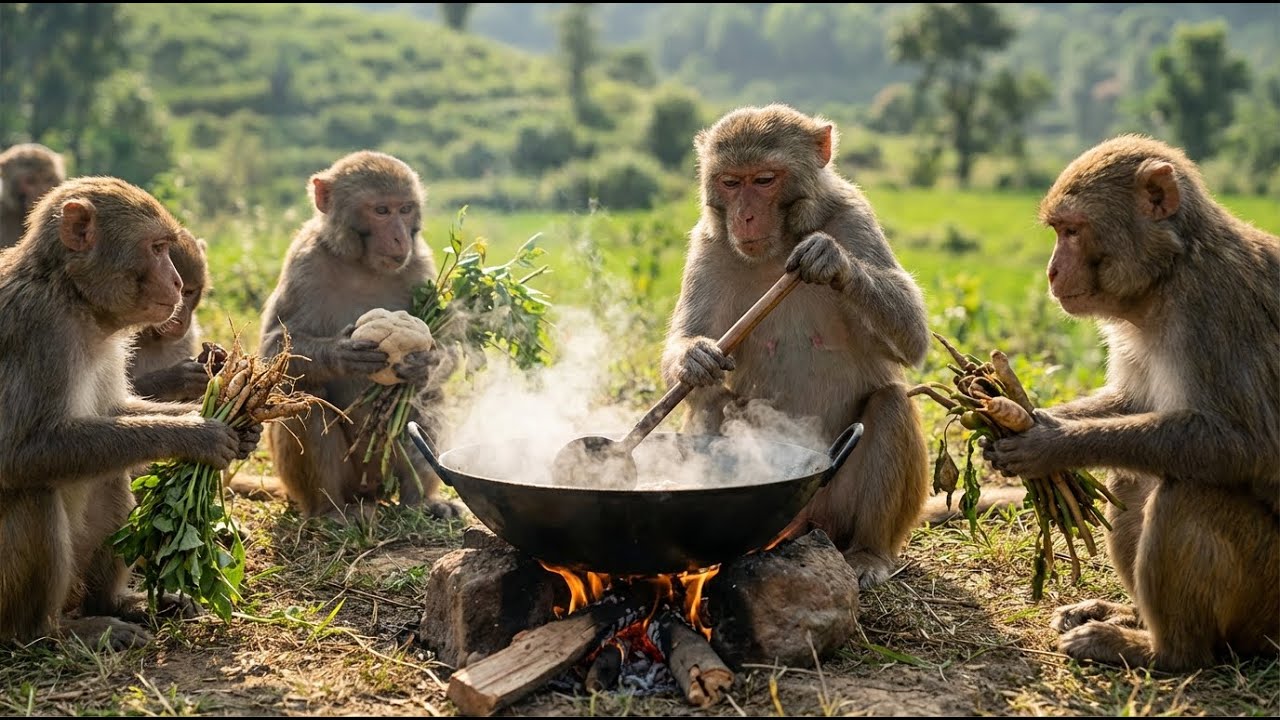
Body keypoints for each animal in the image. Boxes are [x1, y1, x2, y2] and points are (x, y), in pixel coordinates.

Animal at [259, 150, 464, 520]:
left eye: (404, 209)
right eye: (381, 211)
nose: (399, 237)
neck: (360, 265)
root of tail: (371, 490)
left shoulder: (420, 264)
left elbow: (450, 344)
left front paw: (423, 364)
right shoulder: (304, 261)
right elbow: (273, 350)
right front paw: (342, 355)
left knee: (426, 397)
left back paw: (419, 501)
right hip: (338, 482)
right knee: (305, 396)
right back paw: (331, 511)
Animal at [661, 104, 932, 589]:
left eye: (764, 180)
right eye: (731, 182)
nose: (745, 217)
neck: (781, 243)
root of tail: (807, 515)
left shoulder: (854, 217)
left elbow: (914, 337)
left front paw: (832, 261)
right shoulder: (709, 245)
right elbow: (690, 346)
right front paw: (695, 358)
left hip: (841, 506)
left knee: (891, 403)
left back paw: (870, 552)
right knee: (713, 402)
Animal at [984, 134, 1280, 671]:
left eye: (1073, 231)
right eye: (1058, 231)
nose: (1051, 272)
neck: (1170, 273)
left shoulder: (1217, 308)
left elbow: (1248, 443)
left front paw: (1049, 445)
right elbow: (1131, 401)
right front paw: (1020, 422)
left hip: (1266, 599)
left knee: (1186, 490)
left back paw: (1163, 650)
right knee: (1132, 475)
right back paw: (1127, 616)